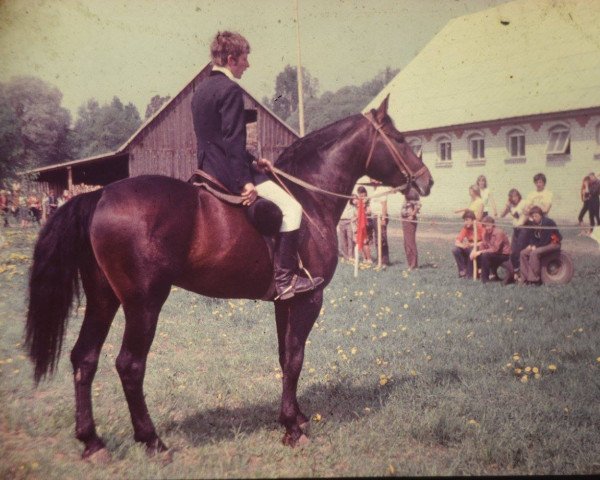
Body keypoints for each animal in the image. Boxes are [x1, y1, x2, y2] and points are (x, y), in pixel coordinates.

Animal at [25, 95, 434, 460]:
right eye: (398, 138)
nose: (426, 182)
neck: (307, 197)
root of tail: (99, 196)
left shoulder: (284, 301)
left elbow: (286, 356)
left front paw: (297, 416)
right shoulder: (310, 298)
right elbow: (296, 357)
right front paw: (291, 428)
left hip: (104, 298)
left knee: (85, 358)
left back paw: (92, 443)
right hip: (144, 304)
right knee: (129, 365)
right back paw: (153, 441)